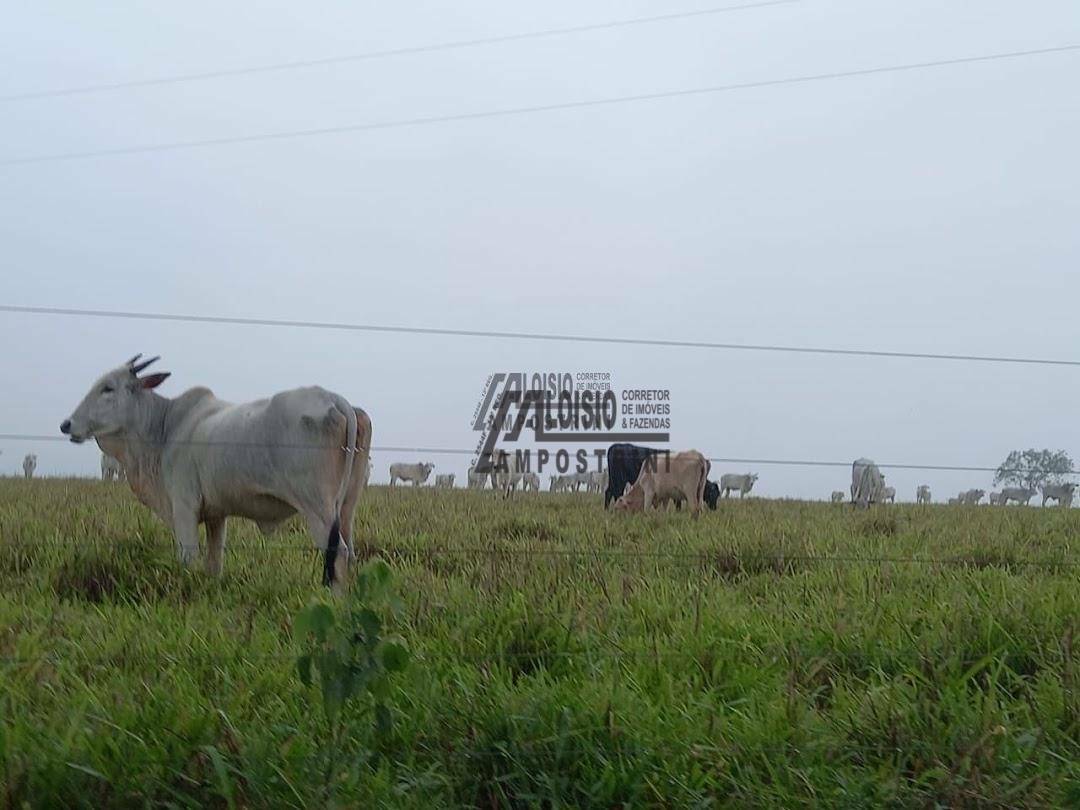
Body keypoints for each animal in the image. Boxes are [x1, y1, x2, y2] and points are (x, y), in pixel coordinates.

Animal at [60, 354, 371, 591]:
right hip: (346, 508)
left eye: (108, 388)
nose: (66, 424)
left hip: (316, 506)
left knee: (337, 554)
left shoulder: (184, 507)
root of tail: (334, 398)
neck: (163, 428)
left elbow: (188, 557)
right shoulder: (216, 515)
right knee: (350, 553)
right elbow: (214, 562)